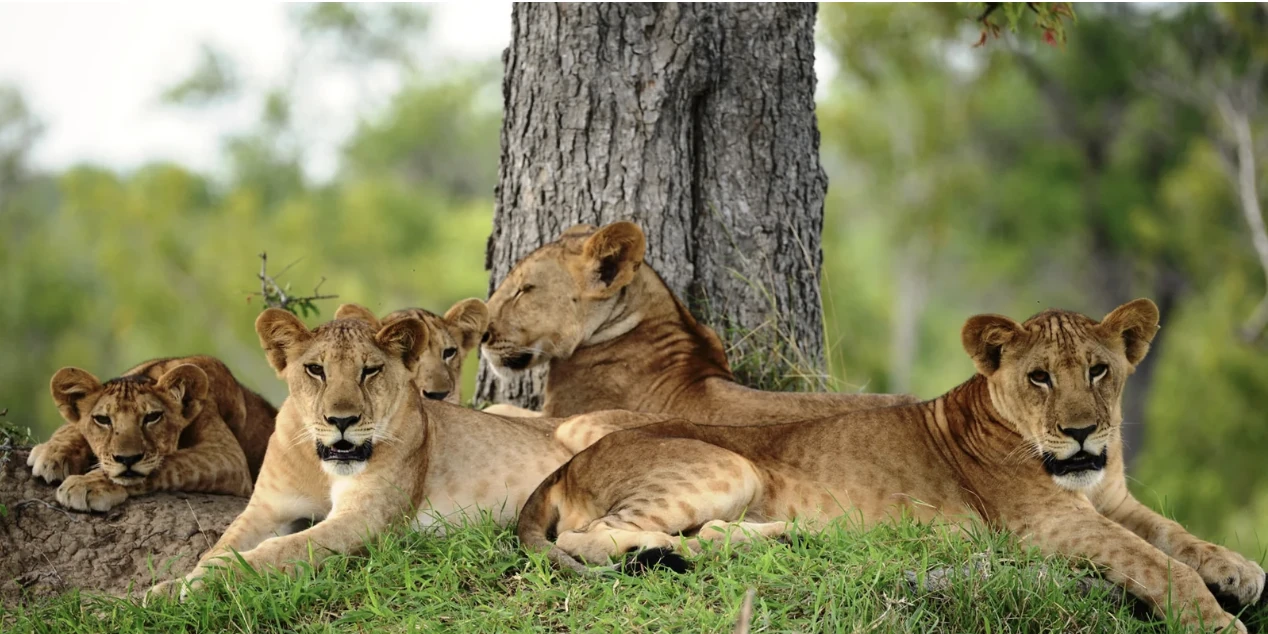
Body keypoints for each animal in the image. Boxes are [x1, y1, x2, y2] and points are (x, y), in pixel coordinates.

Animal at [27, 356, 277, 512]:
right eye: (103, 420)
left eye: (152, 417)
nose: (127, 459)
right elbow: (72, 427)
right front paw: (53, 453)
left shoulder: (228, 456)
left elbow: (170, 462)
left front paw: (87, 484)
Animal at [146, 306, 669, 599]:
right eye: (315, 369)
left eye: (370, 370)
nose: (341, 420)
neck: (322, 464)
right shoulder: (266, 508)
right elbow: (220, 548)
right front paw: (171, 586)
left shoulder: (370, 517)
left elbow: (280, 550)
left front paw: (199, 588)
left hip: (582, 428)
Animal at [517, 299, 1265, 632]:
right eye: (1041, 377)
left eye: (1099, 369)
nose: (1082, 433)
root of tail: (565, 467)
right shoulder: (1049, 521)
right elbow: (1154, 561)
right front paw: (1218, 622)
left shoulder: (1109, 500)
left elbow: (1174, 534)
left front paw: (1239, 570)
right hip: (728, 468)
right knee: (588, 536)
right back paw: (657, 553)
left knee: (716, 535)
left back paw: (776, 540)